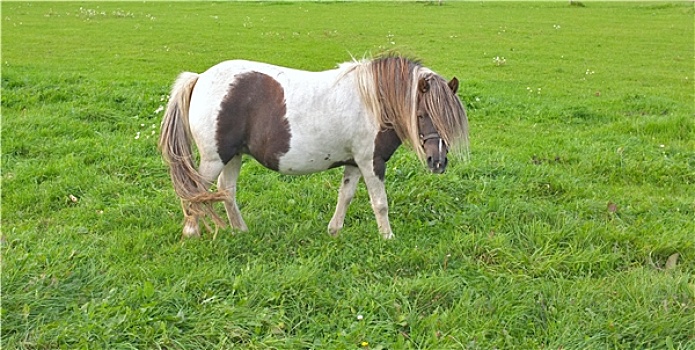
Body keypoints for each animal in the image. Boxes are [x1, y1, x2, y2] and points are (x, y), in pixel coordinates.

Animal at [160, 55, 470, 241]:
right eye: (422, 114)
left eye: (449, 119)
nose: (438, 162)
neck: (373, 101)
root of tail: (199, 78)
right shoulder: (371, 162)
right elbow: (380, 203)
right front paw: (387, 238)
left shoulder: (354, 163)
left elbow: (345, 196)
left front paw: (334, 231)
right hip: (215, 158)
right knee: (195, 192)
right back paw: (191, 232)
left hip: (233, 156)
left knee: (226, 191)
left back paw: (240, 230)